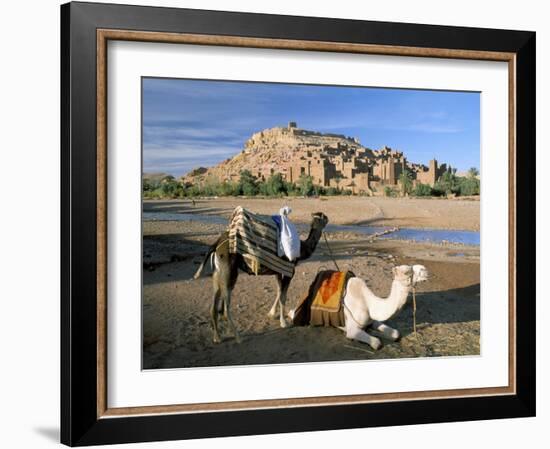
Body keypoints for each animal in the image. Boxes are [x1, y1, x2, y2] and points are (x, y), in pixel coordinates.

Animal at [196, 212, 330, 342]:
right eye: (323, 217)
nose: (328, 218)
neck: (301, 249)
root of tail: (216, 245)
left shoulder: (278, 271)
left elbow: (279, 291)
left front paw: (271, 313)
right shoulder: (290, 271)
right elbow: (283, 296)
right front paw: (284, 323)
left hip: (217, 273)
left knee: (213, 305)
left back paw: (217, 337)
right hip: (229, 272)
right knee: (225, 308)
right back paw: (238, 337)